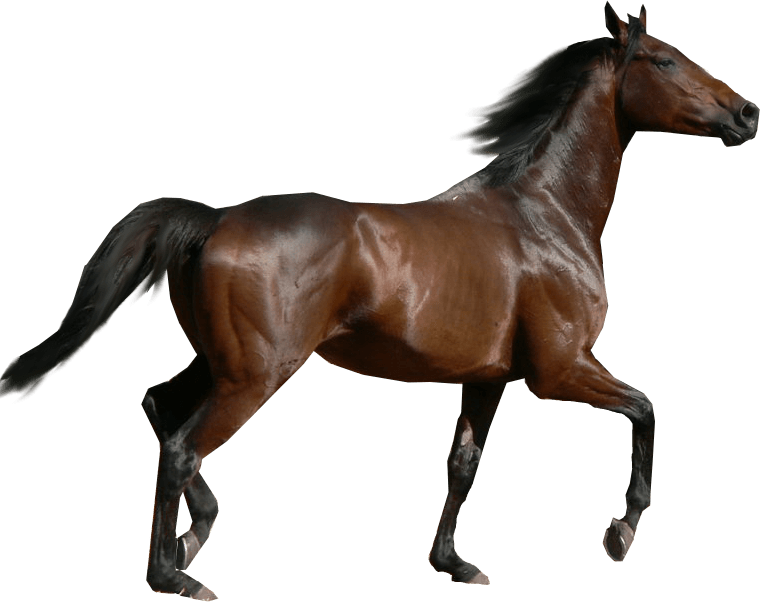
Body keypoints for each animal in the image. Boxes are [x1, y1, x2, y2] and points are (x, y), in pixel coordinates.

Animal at [1, 2, 756, 597]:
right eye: (664, 60)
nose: (746, 113)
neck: (545, 214)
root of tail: (213, 219)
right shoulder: (561, 370)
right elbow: (646, 409)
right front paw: (622, 531)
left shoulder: (487, 381)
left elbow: (463, 467)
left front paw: (455, 564)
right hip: (253, 376)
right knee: (184, 447)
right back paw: (176, 576)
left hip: (218, 363)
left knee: (159, 408)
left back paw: (194, 537)